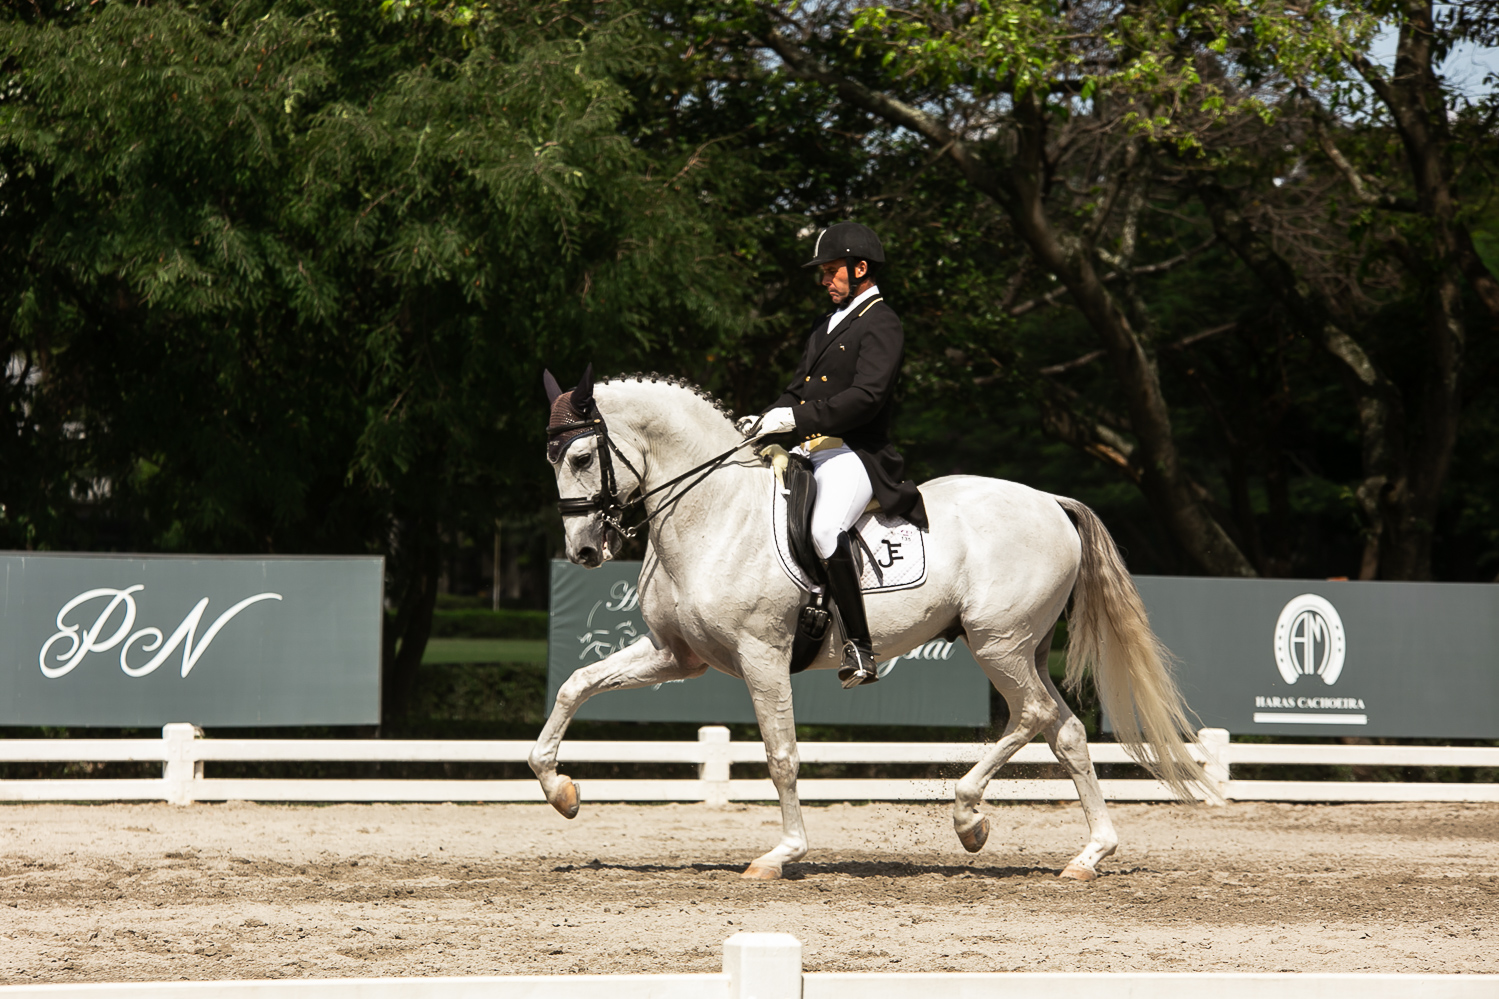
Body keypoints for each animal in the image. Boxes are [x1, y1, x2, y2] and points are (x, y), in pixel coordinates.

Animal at [527, 372, 1205, 882]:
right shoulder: (676, 655)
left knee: (1034, 715)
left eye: (582, 456)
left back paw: (970, 819)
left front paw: (782, 854)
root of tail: (1049, 500)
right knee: (1065, 731)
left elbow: (781, 755)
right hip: (1026, 649)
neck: (716, 514)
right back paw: (1089, 855)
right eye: (551, 458)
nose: (583, 550)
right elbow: (577, 684)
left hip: (999, 644)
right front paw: (560, 791)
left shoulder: (761, 656)